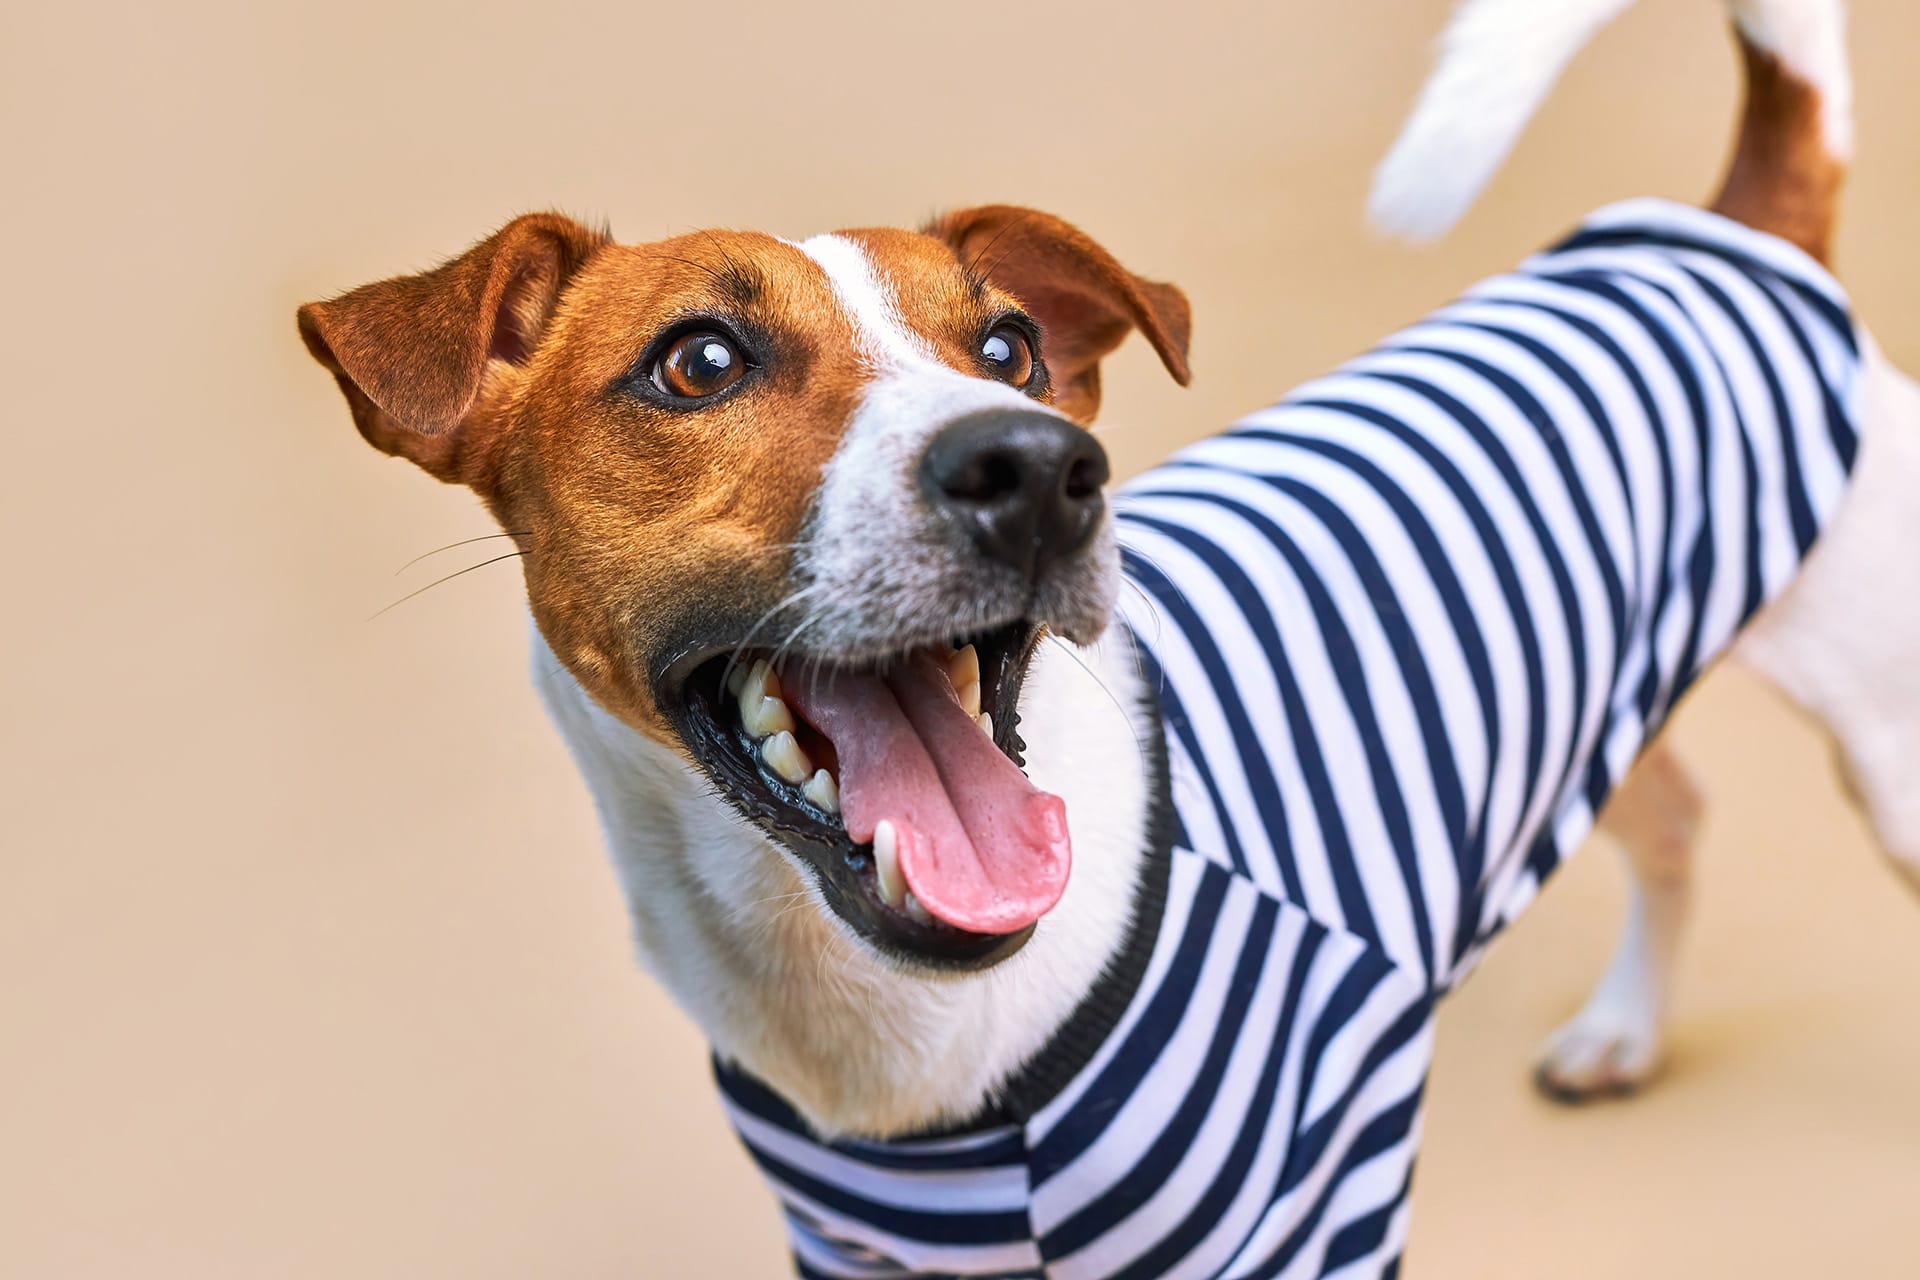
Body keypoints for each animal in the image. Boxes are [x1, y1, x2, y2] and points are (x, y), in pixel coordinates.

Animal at [291, 0, 1912, 1274]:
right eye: (698, 360)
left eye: (1009, 346)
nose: (1037, 470)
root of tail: (1729, 233)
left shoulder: (1323, 1199)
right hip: (1586, 717)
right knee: (1678, 816)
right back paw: (1625, 1030)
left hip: (1883, 740)